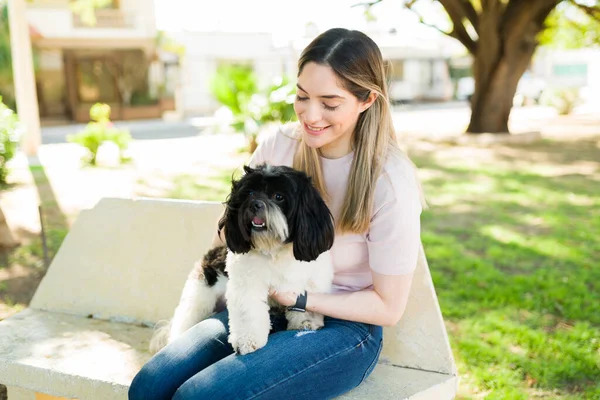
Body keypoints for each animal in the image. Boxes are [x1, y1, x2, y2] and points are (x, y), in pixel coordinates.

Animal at [150, 164, 336, 354]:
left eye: (279, 196)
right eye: (250, 193)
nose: (255, 204)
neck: (273, 250)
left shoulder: (311, 281)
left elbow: (305, 305)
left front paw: (307, 322)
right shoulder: (247, 286)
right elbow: (249, 313)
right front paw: (247, 340)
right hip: (199, 298)